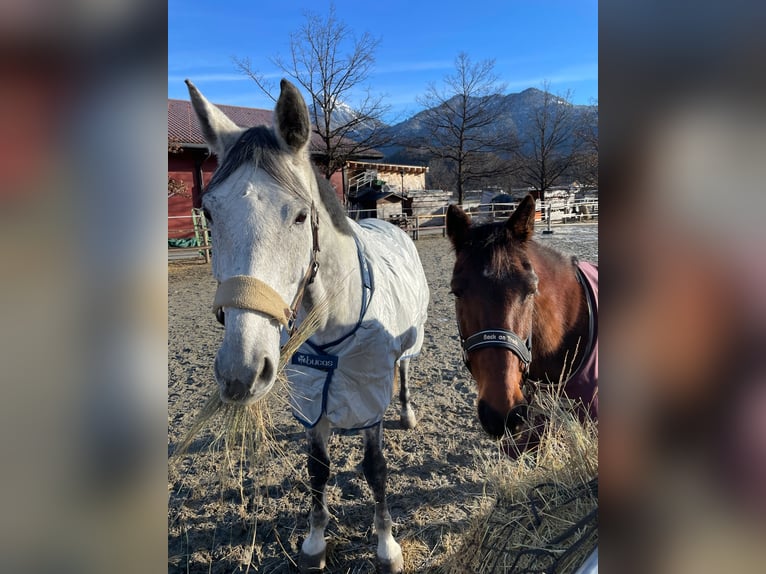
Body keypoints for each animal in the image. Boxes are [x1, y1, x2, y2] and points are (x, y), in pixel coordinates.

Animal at [184, 77, 428, 574]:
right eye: (210, 213)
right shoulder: (313, 400)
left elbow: (376, 469)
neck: (337, 326)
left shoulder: (369, 397)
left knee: (405, 368)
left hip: (409, 341)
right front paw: (315, 543)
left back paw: (408, 411)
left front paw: (386, 546)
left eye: (299, 215)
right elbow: (318, 467)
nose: (239, 373)